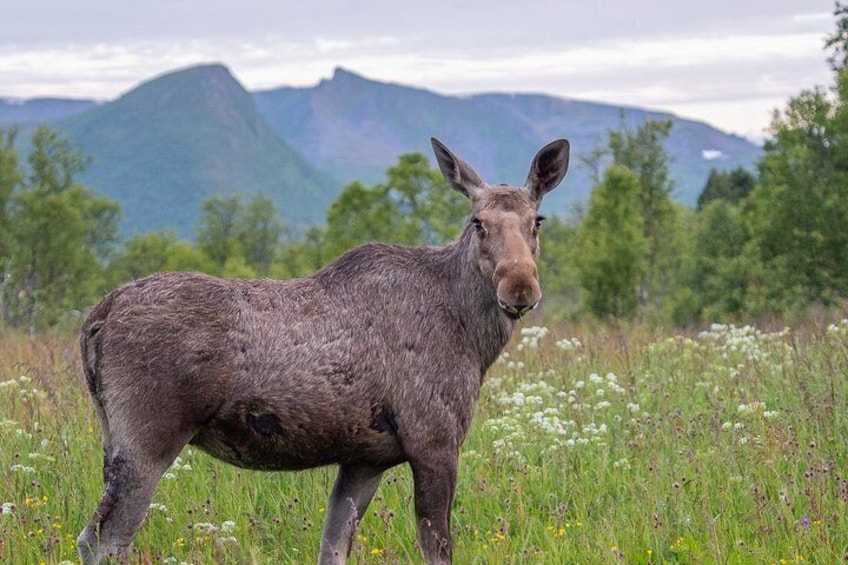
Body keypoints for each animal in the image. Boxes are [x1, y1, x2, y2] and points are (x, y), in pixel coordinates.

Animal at [77, 137, 570, 564]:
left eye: (537, 221)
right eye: (477, 222)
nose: (520, 286)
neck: (473, 333)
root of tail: (97, 316)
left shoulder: (364, 460)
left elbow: (332, 547)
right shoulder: (434, 441)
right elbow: (437, 548)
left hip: (113, 437)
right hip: (148, 440)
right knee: (104, 540)